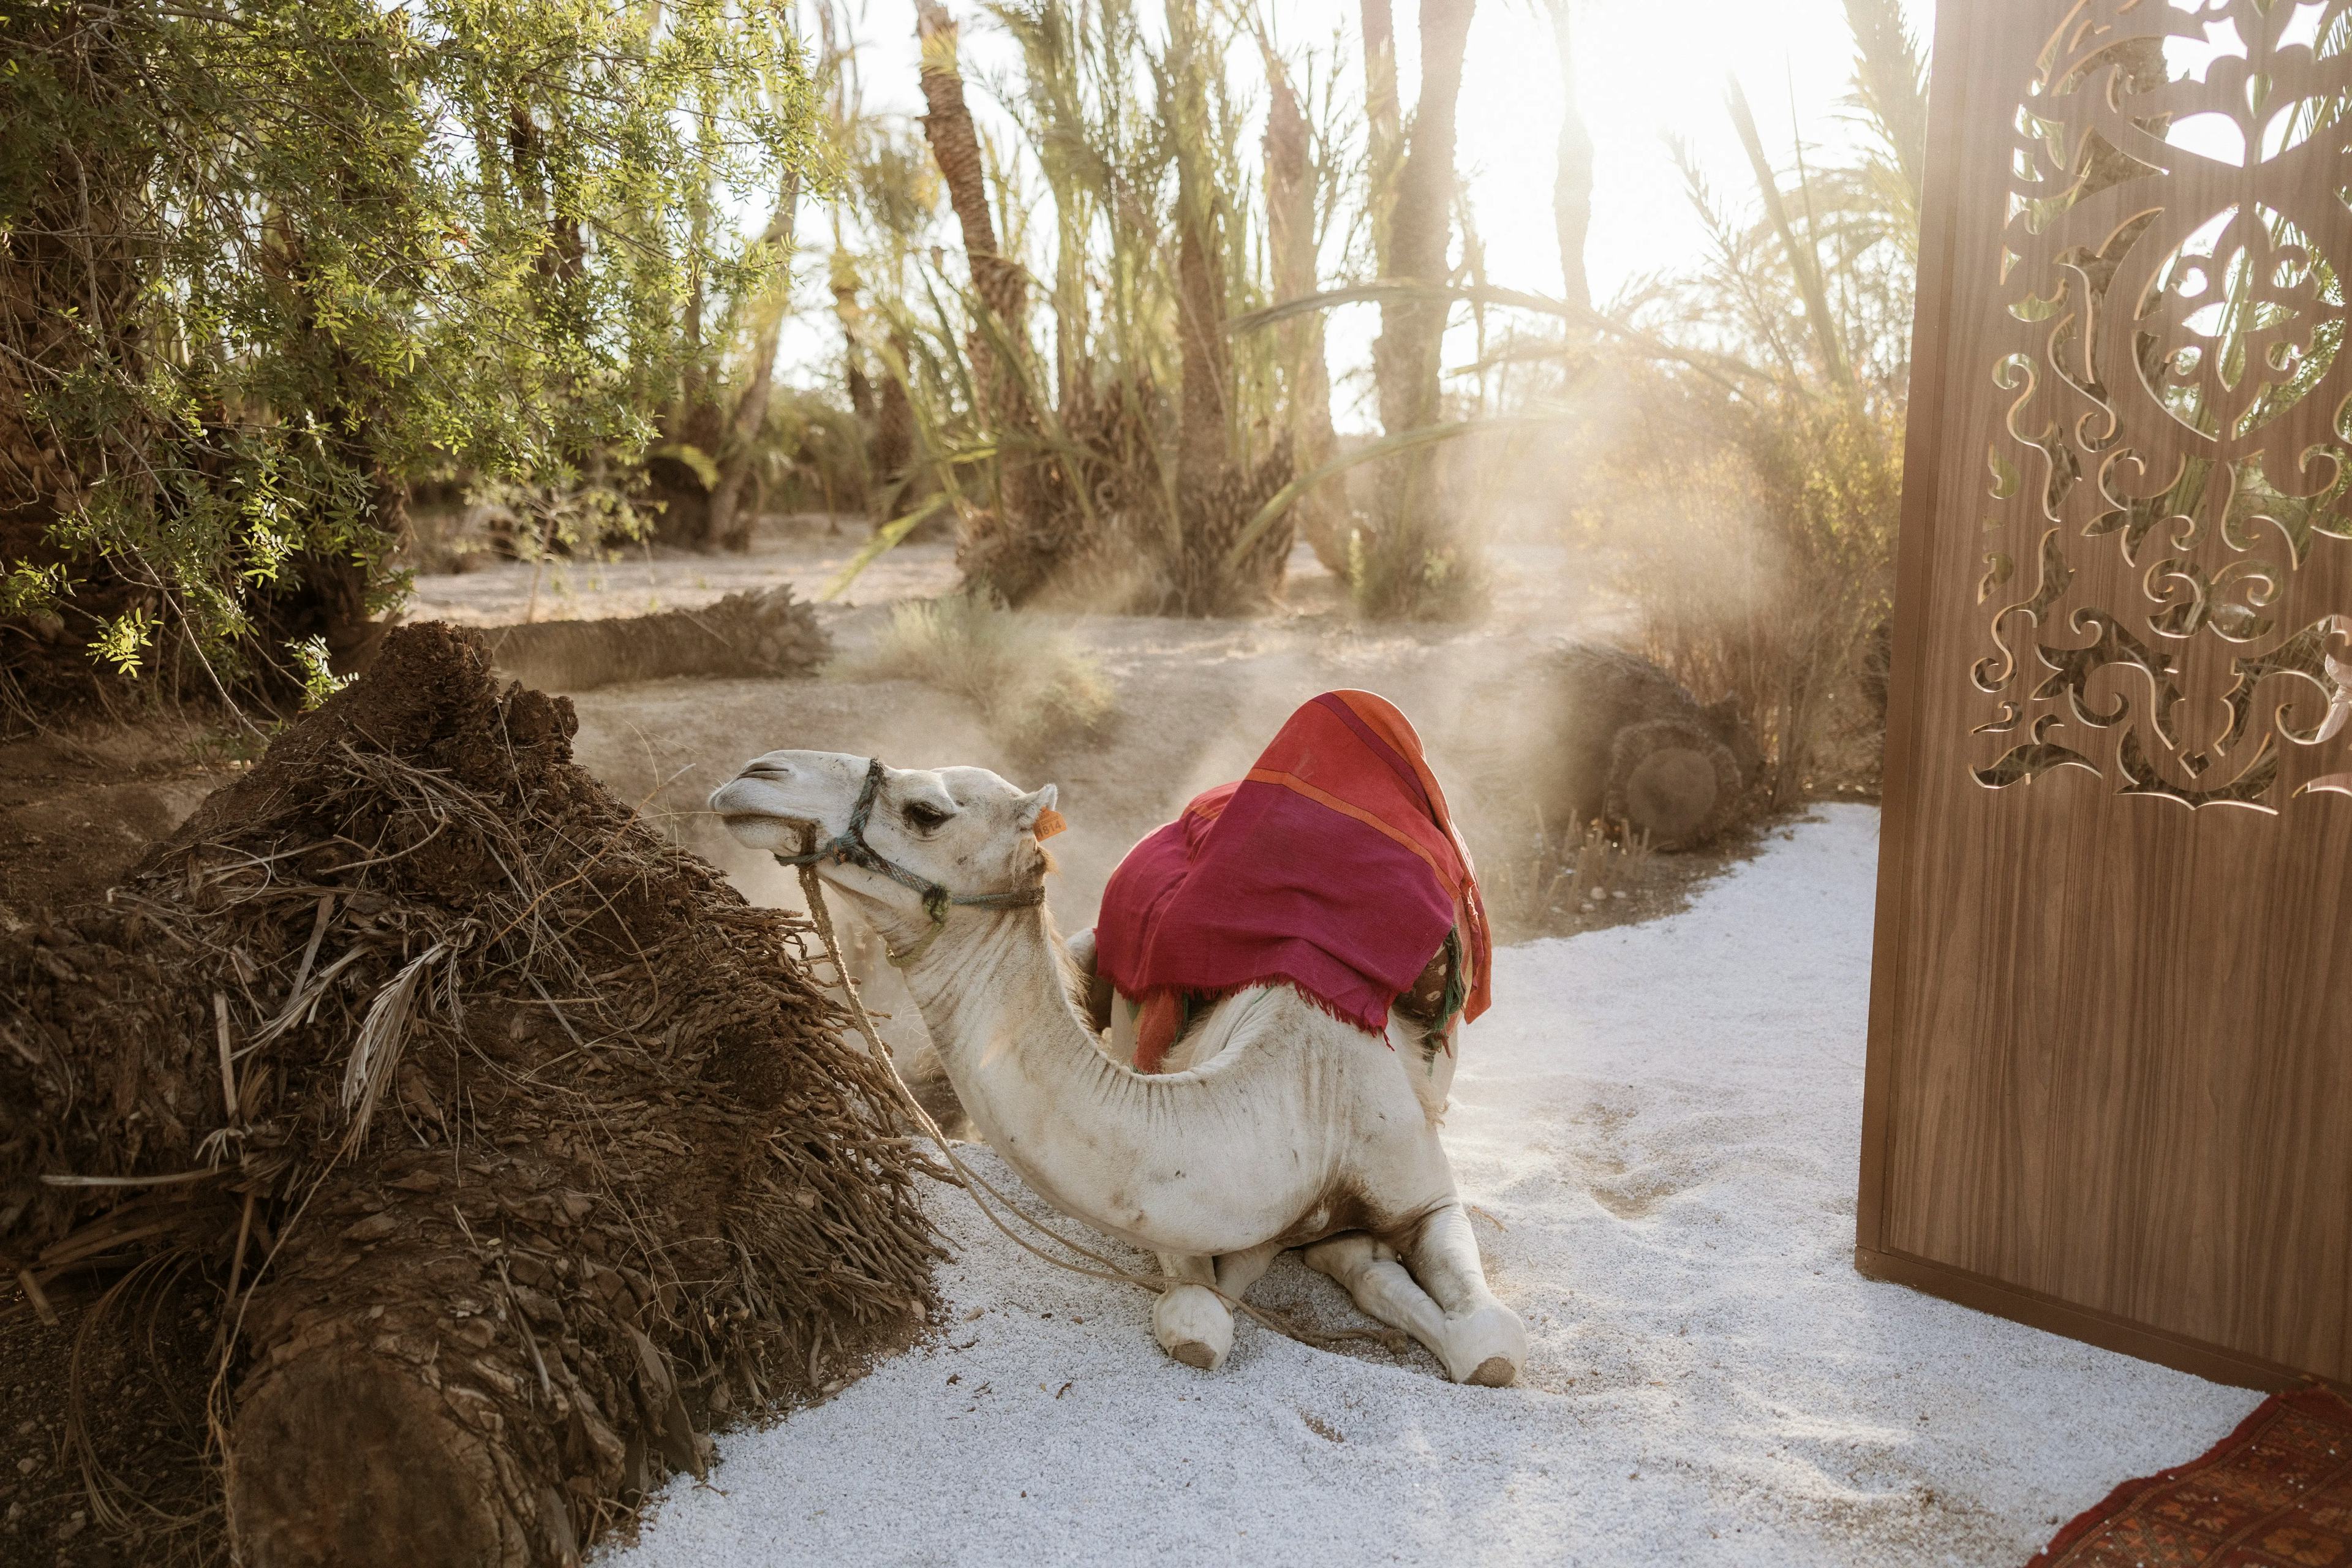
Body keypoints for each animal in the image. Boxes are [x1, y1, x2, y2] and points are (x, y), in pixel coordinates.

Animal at [706, 752, 1533, 1382]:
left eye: (926, 811)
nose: (754, 776)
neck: (1308, 1096)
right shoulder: (1178, 1204)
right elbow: (1198, 1322)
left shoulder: (1419, 1186)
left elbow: (1491, 1344)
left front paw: (1368, 1264)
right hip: (1093, 948)